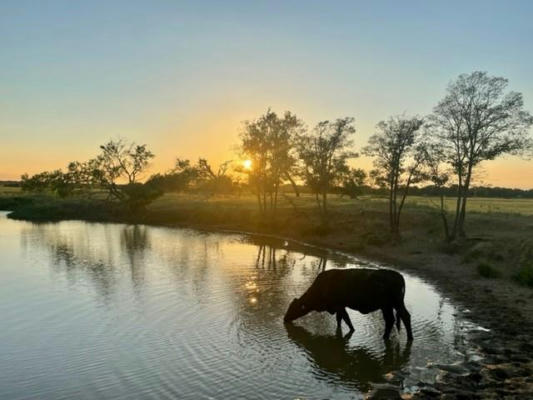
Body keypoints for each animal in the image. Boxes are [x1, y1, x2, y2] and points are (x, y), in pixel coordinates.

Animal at [280, 268, 414, 340]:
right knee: (393, 319)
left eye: (292, 308)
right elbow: (340, 319)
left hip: (392, 304)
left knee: (400, 317)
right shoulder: (340, 307)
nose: (284, 318)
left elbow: (346, 319)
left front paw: (351, 330)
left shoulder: (339, 306)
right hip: (389, 306)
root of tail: (398, 275)